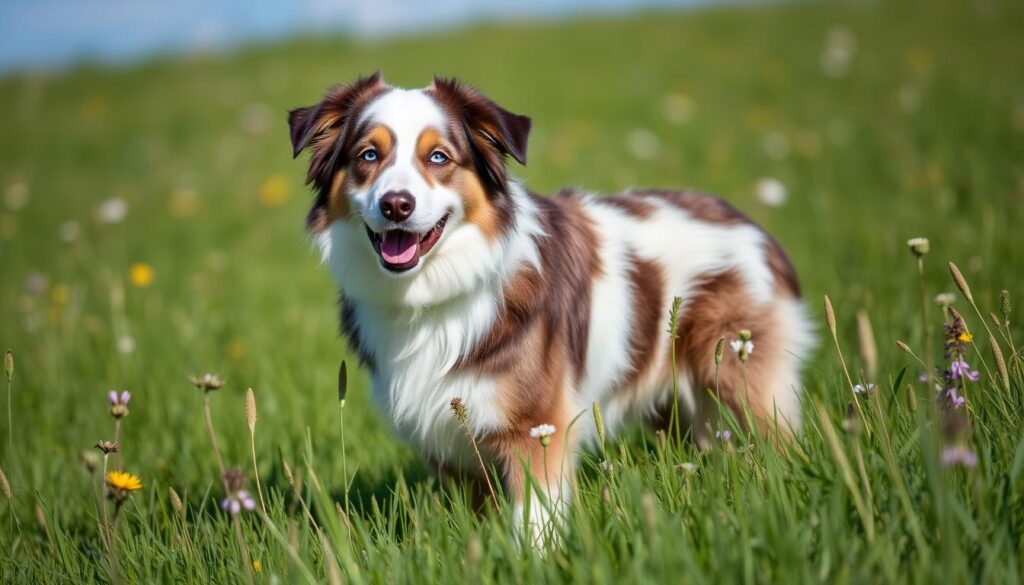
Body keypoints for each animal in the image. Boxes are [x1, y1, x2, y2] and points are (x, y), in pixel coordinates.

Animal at [290, 72, 815, 536]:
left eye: (438, 157)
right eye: (368, 155)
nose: (397, 205)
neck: (431, 294)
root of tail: (753, 226)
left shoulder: (537, 428)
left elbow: (535, 523)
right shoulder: (450, 440)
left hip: (743, 379)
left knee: (781, 439)